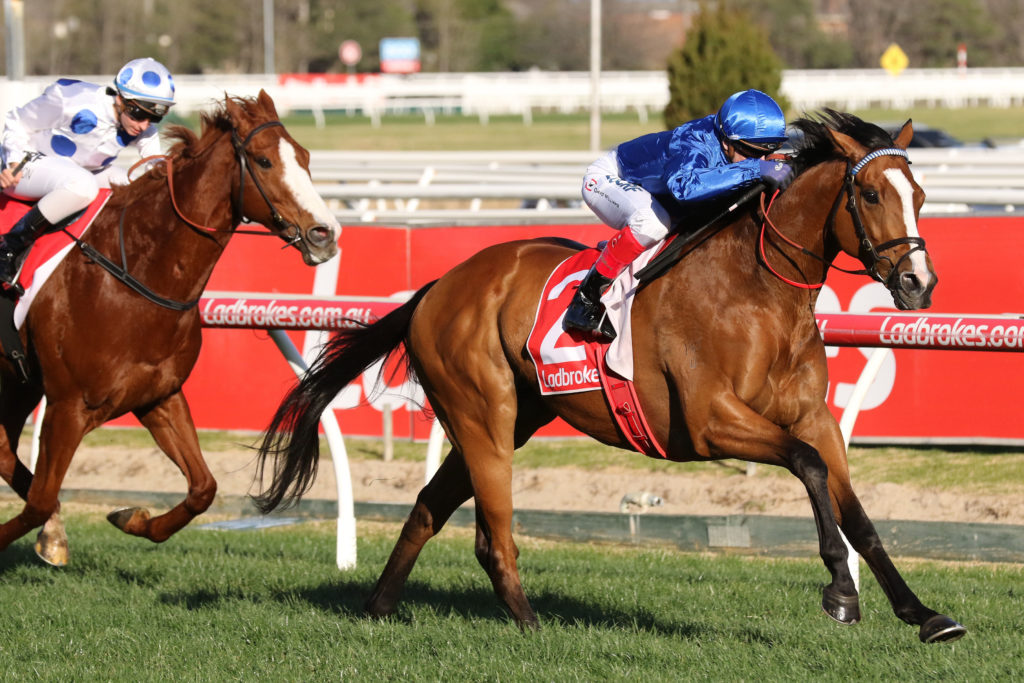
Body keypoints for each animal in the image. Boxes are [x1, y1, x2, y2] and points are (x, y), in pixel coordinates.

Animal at [0, 90, 338, 566]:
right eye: (264, 160)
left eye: (305, 157)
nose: (326, 234)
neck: (134, 275)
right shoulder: (68, 405)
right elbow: (39, 501)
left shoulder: (159, 395)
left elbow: (203, 488)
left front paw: (131, 518)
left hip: (16, 382)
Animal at [253, 110, 966, 644]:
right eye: (870, 194)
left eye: (921, 196)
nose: (918, 284)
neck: (759, 290)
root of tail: (435, 289)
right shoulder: (711, 422)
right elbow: (808, 468)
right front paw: (841, 592)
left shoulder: (816, 419)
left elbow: (857, 512)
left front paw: (925, 615)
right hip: (484, 417)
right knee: (492, 534)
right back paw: (530, 623)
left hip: (507, 419)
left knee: (429, 505)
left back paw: (376, 609)